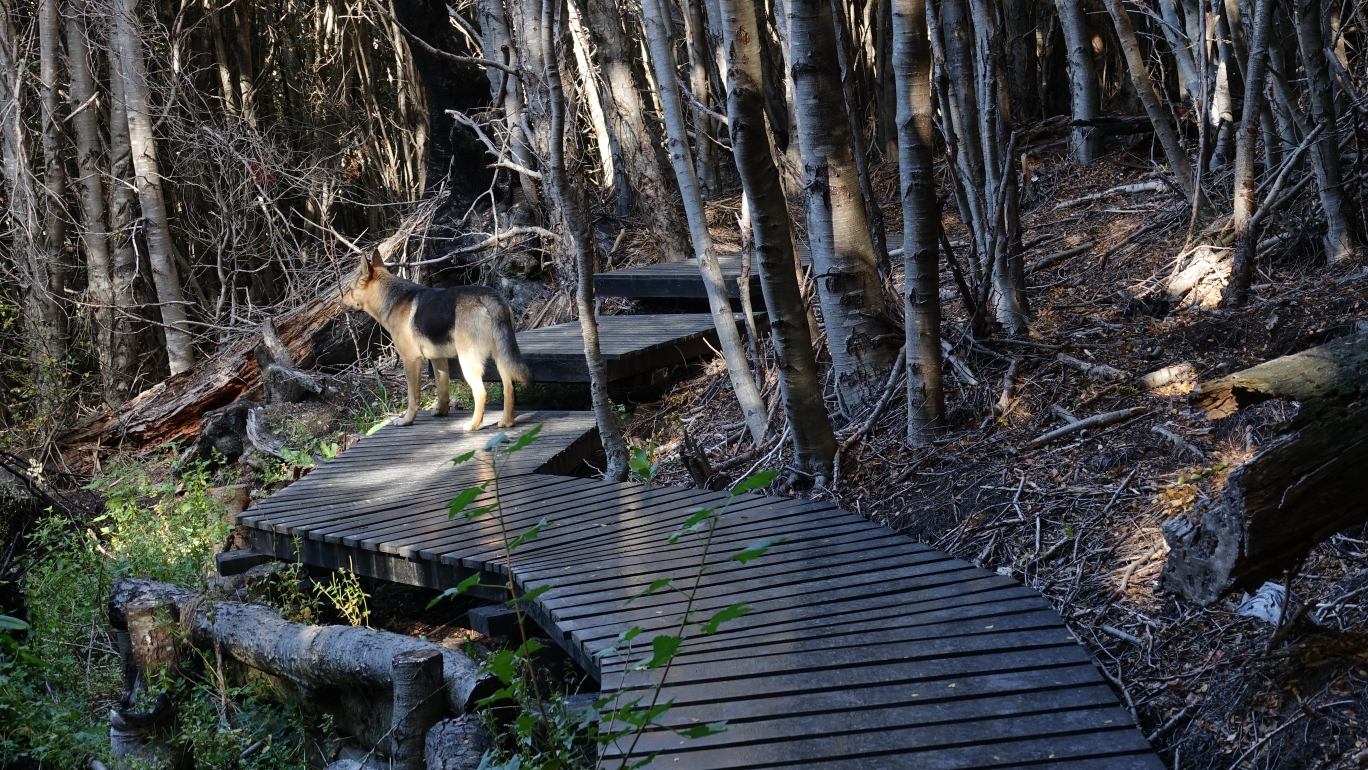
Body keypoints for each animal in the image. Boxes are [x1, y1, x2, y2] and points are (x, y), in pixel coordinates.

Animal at [340, 253, 528, 434]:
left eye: (350, 289)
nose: (339, 305)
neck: (393, 299)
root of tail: (488, 295)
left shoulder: (411, 361)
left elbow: (413, 397)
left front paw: (407, 420)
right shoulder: (439, 360)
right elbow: (442, 391)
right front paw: (441, 411)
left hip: (467, 362)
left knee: (481, 392)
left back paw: (474, 425)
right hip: (500, 356)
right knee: (508, 388)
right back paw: (506, 422)